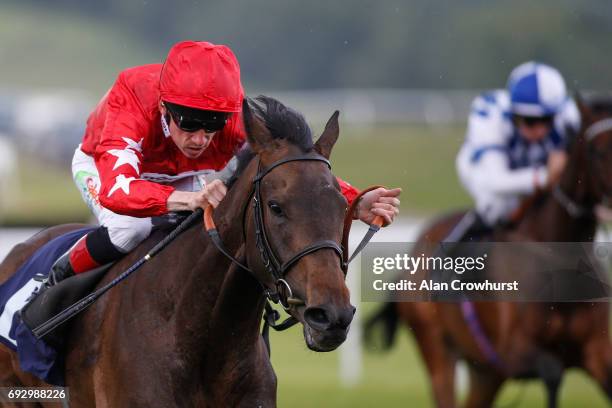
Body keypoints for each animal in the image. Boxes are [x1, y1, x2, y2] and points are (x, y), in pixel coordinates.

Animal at [366, 99, 608, 408]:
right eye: (597, 150)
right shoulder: (511, 354)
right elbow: (553, 374)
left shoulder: (598, 354)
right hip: (438, 350)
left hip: (484, 372)